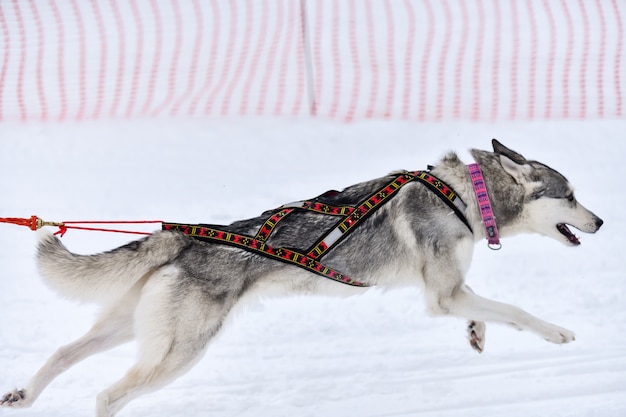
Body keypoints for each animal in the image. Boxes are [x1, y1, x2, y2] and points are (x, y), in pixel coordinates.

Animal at [2, 141, 604, 416]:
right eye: (571, 195)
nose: (600, 222)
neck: (465, 195)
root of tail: (181, 237)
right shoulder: (444, 294)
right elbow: (516, 311)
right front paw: (556, 333)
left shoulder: (451, 293)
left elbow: (486, 310)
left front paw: (478, 333)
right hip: (179, 351)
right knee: (108, 394)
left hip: (133, 326)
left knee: (64, 352)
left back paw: (23, 394)